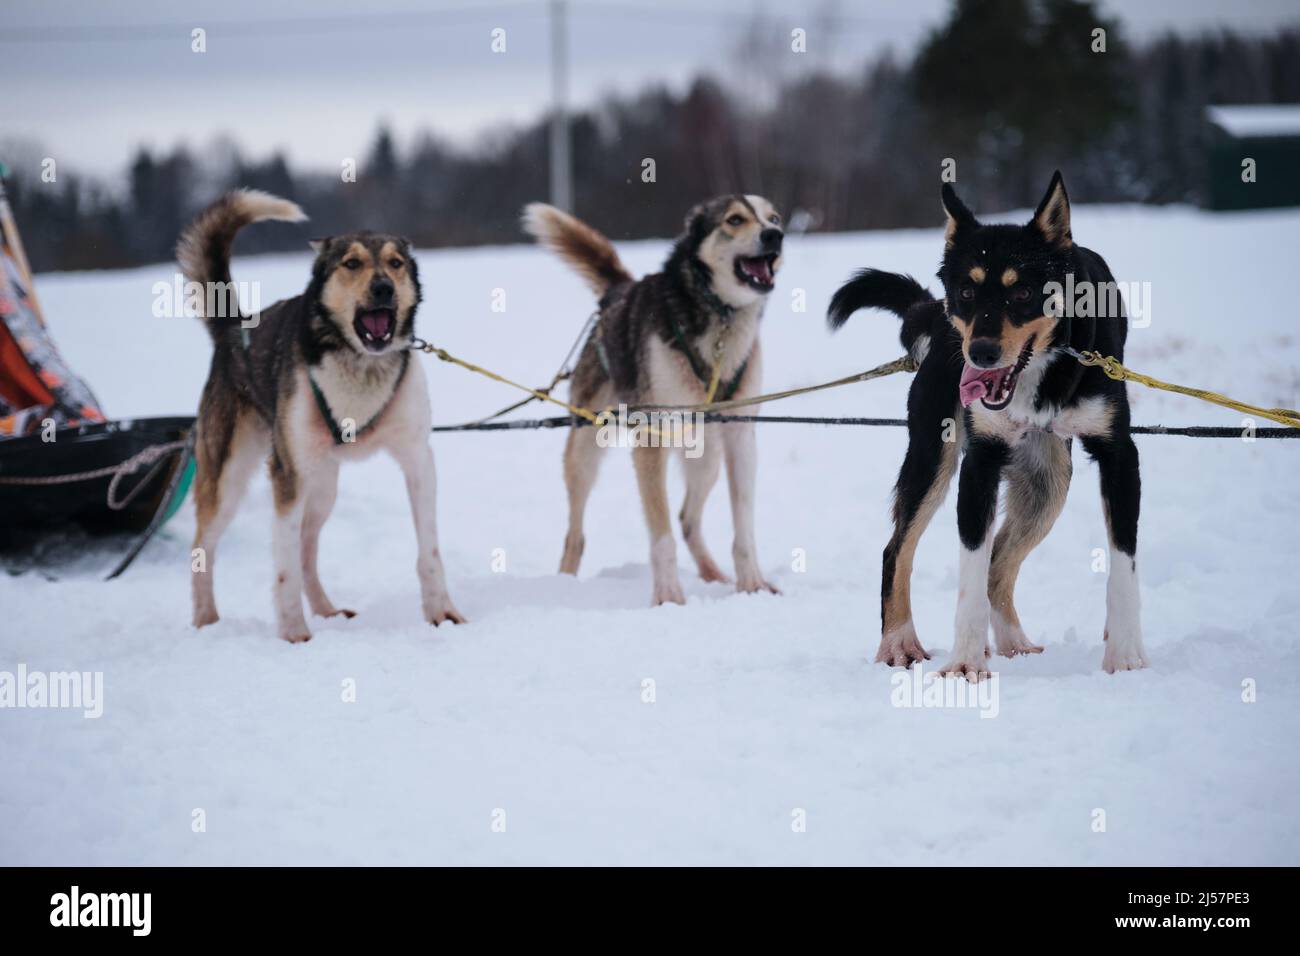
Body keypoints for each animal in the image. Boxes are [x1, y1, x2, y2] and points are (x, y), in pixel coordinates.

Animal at [175, 188, 465, 642]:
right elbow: (284, 569)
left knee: (307, 548)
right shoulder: (287, 474)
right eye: (352, 263)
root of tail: (232, 329)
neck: (360, 365)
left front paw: (441, 612)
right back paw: (206, 620)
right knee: (204, 547)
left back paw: (327, 610)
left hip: (323, 486)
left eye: (395, 263)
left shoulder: (418, 458)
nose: (383, 287)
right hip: (230, 481)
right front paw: (294, 633)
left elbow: (429, 550)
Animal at [826, 174, 1144, 681]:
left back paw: (1014, 642)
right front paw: (964, 663)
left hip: (1049, 484)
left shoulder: (1118, 455)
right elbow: (970, 571)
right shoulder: (981, 461)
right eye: (968, 292)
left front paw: (1126, 656)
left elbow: (1122, 563)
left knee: (1001, 562)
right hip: (932, 456)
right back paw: (899, 642)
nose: (981, 353)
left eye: (1022, 293)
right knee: (898, 550)